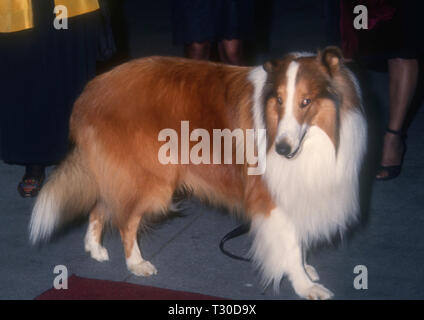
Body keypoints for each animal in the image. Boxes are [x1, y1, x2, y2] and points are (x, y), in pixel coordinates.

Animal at [30, 46, 368, 298]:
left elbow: (298, 238)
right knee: (126, 220)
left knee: (103, 205)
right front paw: (304, 284)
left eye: (306, 102)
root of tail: (90, 92)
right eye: (280, 101)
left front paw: (304, 269)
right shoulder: (270, 195)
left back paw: (96, 248)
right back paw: (136, 263)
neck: (319, 137)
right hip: (149, 179)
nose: (282, 149)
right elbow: (290, 241)